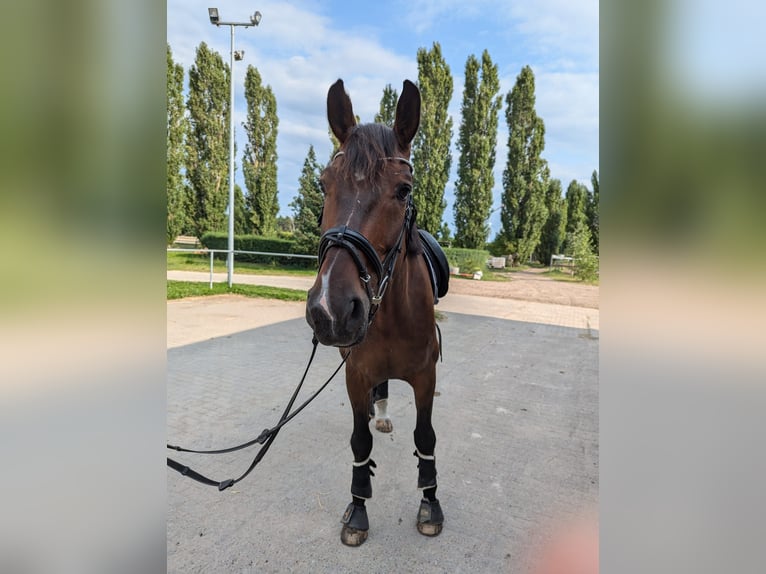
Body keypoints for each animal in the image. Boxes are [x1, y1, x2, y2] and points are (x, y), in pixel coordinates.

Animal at [308, 79, 444, 548]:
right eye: (324, 184)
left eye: (403, 190)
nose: (330, 308)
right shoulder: (355, 374)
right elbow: (359, 442)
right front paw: (358, 509)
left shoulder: (426, 377)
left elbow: (426, 437)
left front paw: (430, 501)